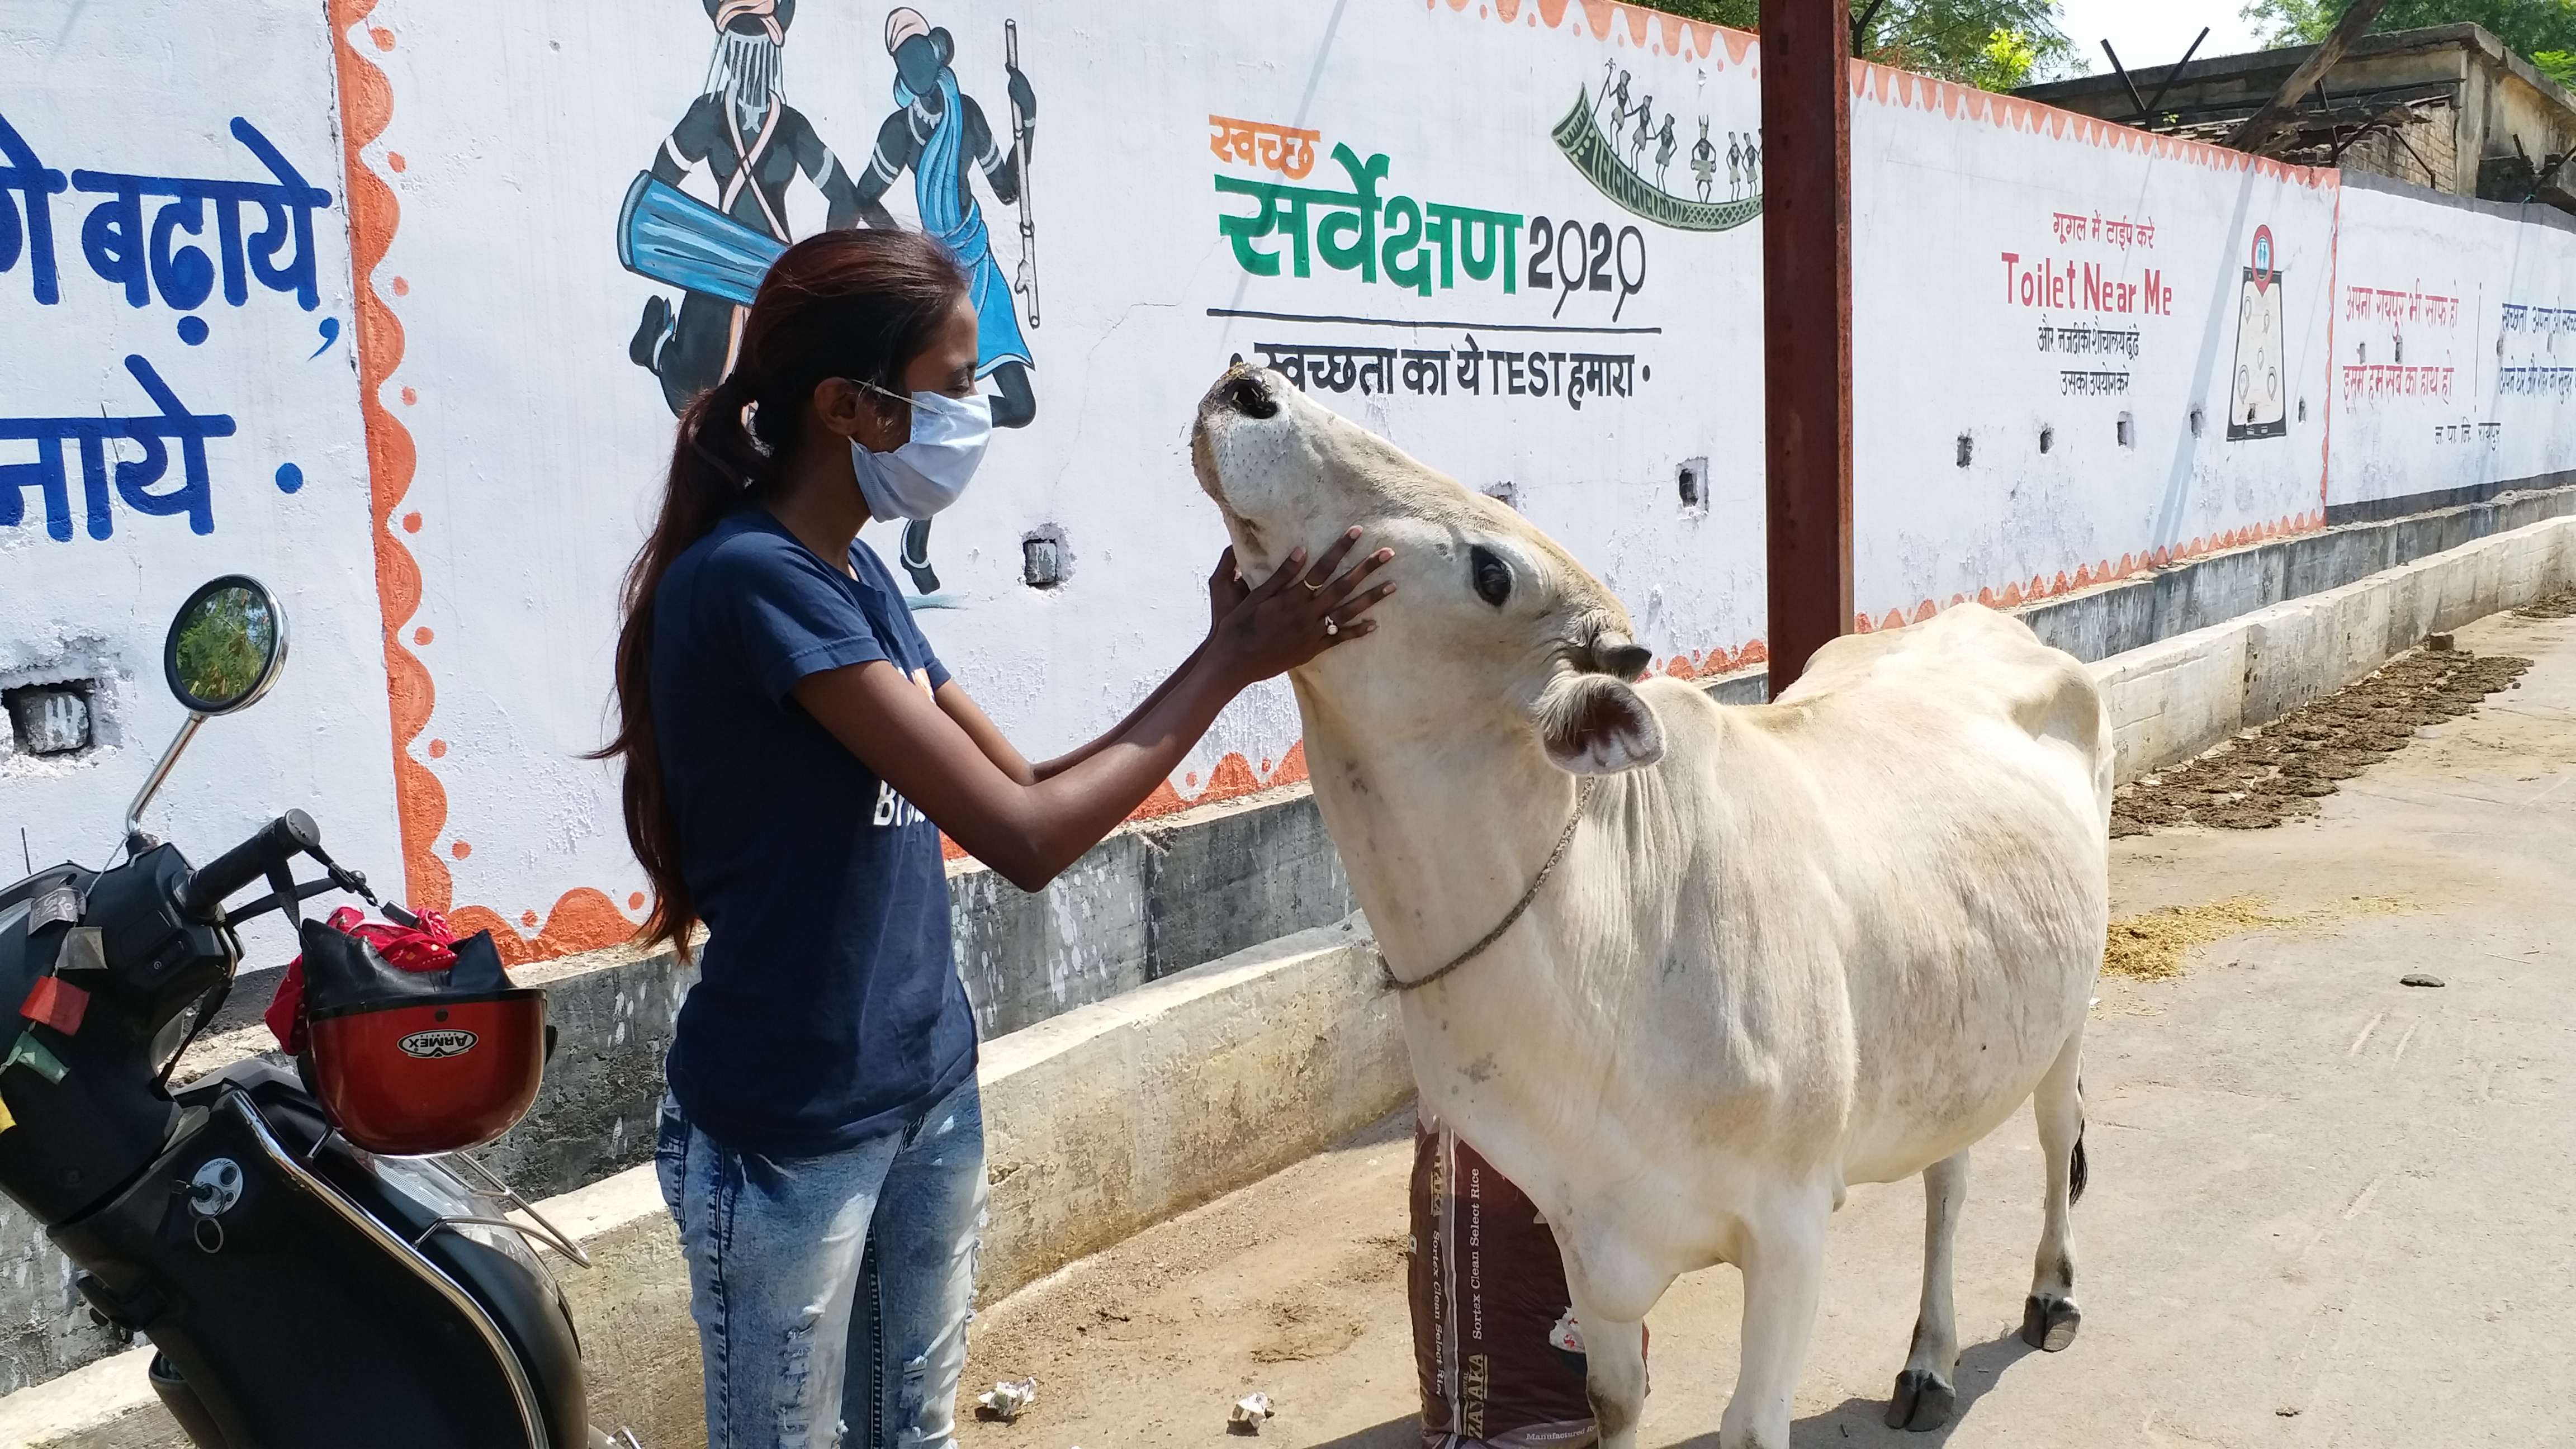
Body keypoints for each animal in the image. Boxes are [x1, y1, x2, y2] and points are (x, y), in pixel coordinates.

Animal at [1185, 366, 2112, 1433]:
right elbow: (1611, 1400)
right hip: (1953, 1025)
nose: (1250, 386)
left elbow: (1749, 1424)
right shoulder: (1584, 1229)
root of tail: (1983, 620)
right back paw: (1926, 1358)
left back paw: (2051, 1292)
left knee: (2053, 1130)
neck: (1604, 938)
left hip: (2068, 1007)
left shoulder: (1791, 1227)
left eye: (1492, 573)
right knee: (1948, 1176)